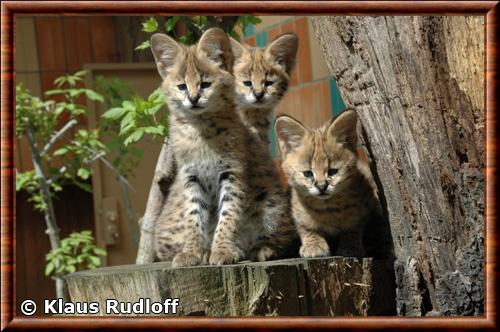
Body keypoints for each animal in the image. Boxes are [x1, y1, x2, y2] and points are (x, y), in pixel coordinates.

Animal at [150, 27, 294, 268]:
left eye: (205, 84)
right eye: (182, 86)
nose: (193, 98)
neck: (200, 129)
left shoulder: (232, 172)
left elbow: (229, 214)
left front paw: (223, 250)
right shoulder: (191, 176)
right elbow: (193, 216)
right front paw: (192, 252)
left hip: (271, 204)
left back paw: (260, 249)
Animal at [276, 110, 380, 258]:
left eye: (332, 171)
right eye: (308, 173)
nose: (321, 187)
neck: (326, 207)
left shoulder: (366, 204)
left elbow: (353, 227)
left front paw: (351, 247)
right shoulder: (296, 209)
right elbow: (306, 227)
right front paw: (313, 245)